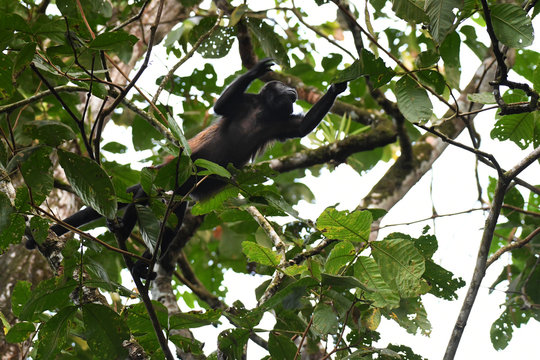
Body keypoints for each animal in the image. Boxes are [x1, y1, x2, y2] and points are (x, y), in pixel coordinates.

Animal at [25, 57, 348, 282]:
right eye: (280, 85)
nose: (292, 88)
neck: (264, 112)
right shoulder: (245, 103)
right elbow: (221, 106)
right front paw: (258, 69)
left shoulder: (279, 124)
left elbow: (302, 129)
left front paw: (337, 87)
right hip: (165, 173)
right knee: (144, 194)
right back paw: (124, 233)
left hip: (179, 194)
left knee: (174, 220)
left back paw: (142, 266)